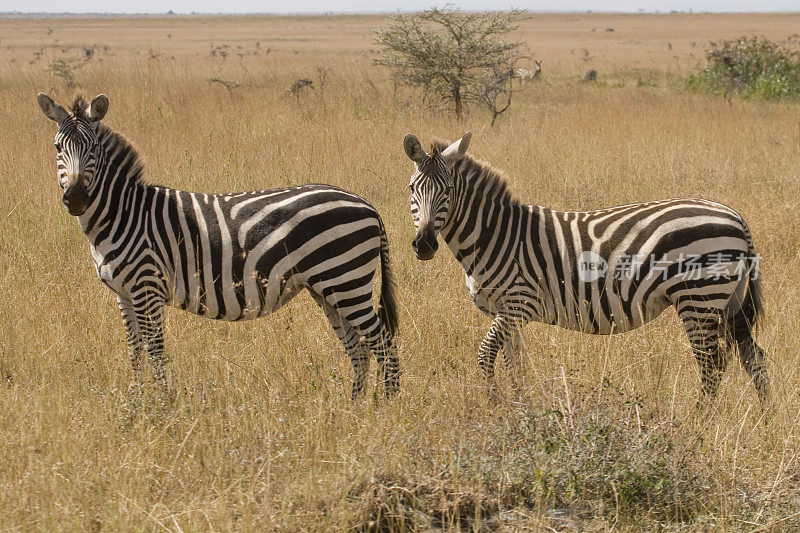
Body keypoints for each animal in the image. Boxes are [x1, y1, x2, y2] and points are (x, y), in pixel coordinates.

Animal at [37, 93, 400, 396]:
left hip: (346, 279)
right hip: (327, 287)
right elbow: (135, 351)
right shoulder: (123, 294)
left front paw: (162, 407)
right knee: (358, 347)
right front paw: (137, 405)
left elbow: (155, 351)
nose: (76, 198)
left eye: (93, 148)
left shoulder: (147, 287)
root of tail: (366, 204)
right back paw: (355, 407)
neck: (125, 214)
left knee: (382, 340)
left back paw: (387, 406)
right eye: (57, 148)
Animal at [404, 131, 772, 406]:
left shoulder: (519, 303)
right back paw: (764, 418)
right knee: (753, 357)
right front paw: (521, 406)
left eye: (449, 191)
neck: (495, 234)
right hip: (728, 301)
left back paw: (698, 423)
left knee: (712, 364)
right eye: (412, 188)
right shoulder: (504, 311)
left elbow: (485, 354)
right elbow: (515, 363)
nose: (424, 245)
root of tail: (735, 216)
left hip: (699, 299)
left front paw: (494, 404)